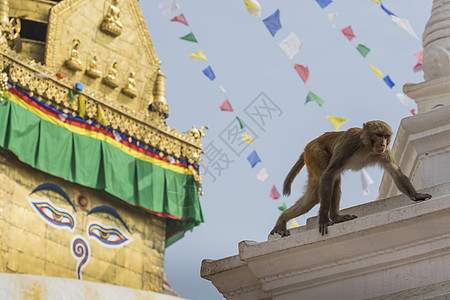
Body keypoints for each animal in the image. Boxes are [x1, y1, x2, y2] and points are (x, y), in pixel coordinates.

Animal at [270, 119, 432, 237]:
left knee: (312, 197)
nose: (383, 142)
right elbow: (328, 174)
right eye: (378, 135)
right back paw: (332, 217)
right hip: (315, 153)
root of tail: (308, 145)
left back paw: (283, 219)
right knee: (330, 179)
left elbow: (396, 173)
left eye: (386, 136)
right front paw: (323, 219)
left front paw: (416, 195)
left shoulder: (385, 152)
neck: (367, 147)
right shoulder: (349, 143)